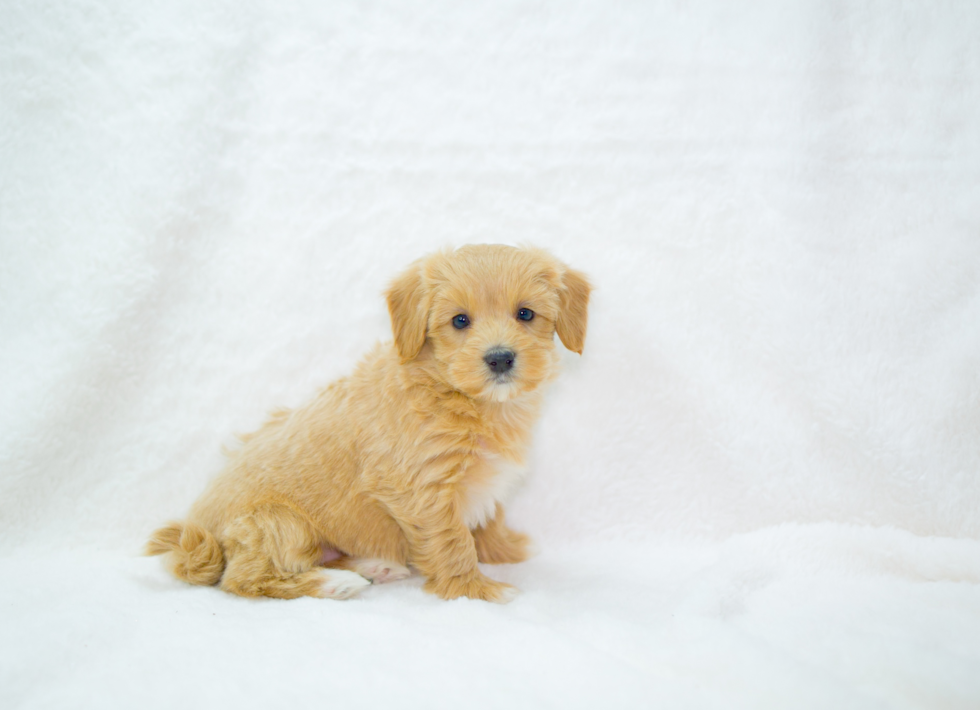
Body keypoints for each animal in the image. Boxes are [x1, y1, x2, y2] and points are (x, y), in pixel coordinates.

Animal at [145, 246, 588, 608]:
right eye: (460, 321)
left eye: (525, 313)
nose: (499, 358)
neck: (459, 395)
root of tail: (197, 536)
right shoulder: (422, 490)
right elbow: (453, 541)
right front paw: (474, 590)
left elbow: (489, 516)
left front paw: (503, 550)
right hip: (278, 522)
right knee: (244, 579)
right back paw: (333, 583)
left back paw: (374, 567)